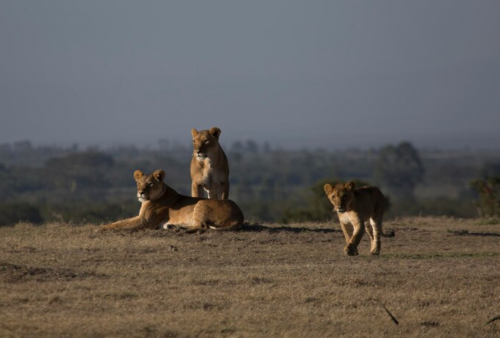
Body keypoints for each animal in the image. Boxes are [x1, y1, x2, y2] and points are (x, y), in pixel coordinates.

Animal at [99, 170, 244, 231]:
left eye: (150, 184)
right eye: (138, 183)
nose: (141, 192)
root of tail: (240, 215)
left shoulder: (145, 221)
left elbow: (121, 224)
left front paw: (103, 228)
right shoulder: (141, 218)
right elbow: (121, 221)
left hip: (200, 202)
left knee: (202, 226)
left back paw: (177, 227)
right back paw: (173, 226)